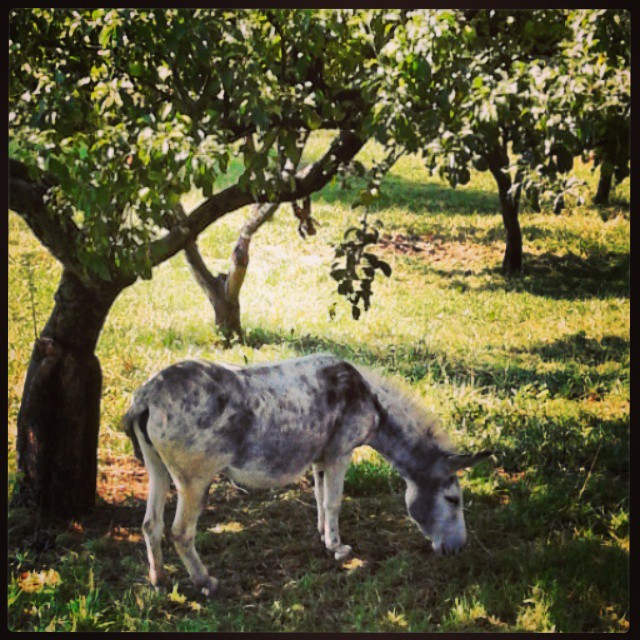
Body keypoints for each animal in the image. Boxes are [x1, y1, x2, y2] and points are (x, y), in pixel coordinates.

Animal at [123, 353, 491, 598]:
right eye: (453, 499)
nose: (459, 549)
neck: (372, 402)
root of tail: (148, 394)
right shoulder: (341, 453)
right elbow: (334, 502)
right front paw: (339, 549)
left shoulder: (320, 457)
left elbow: (318, 496)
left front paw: (323, 537)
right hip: (194, 480)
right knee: (181, 532)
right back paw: (205, 582)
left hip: (156, 467)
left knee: (151, 525)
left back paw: (159, 580)